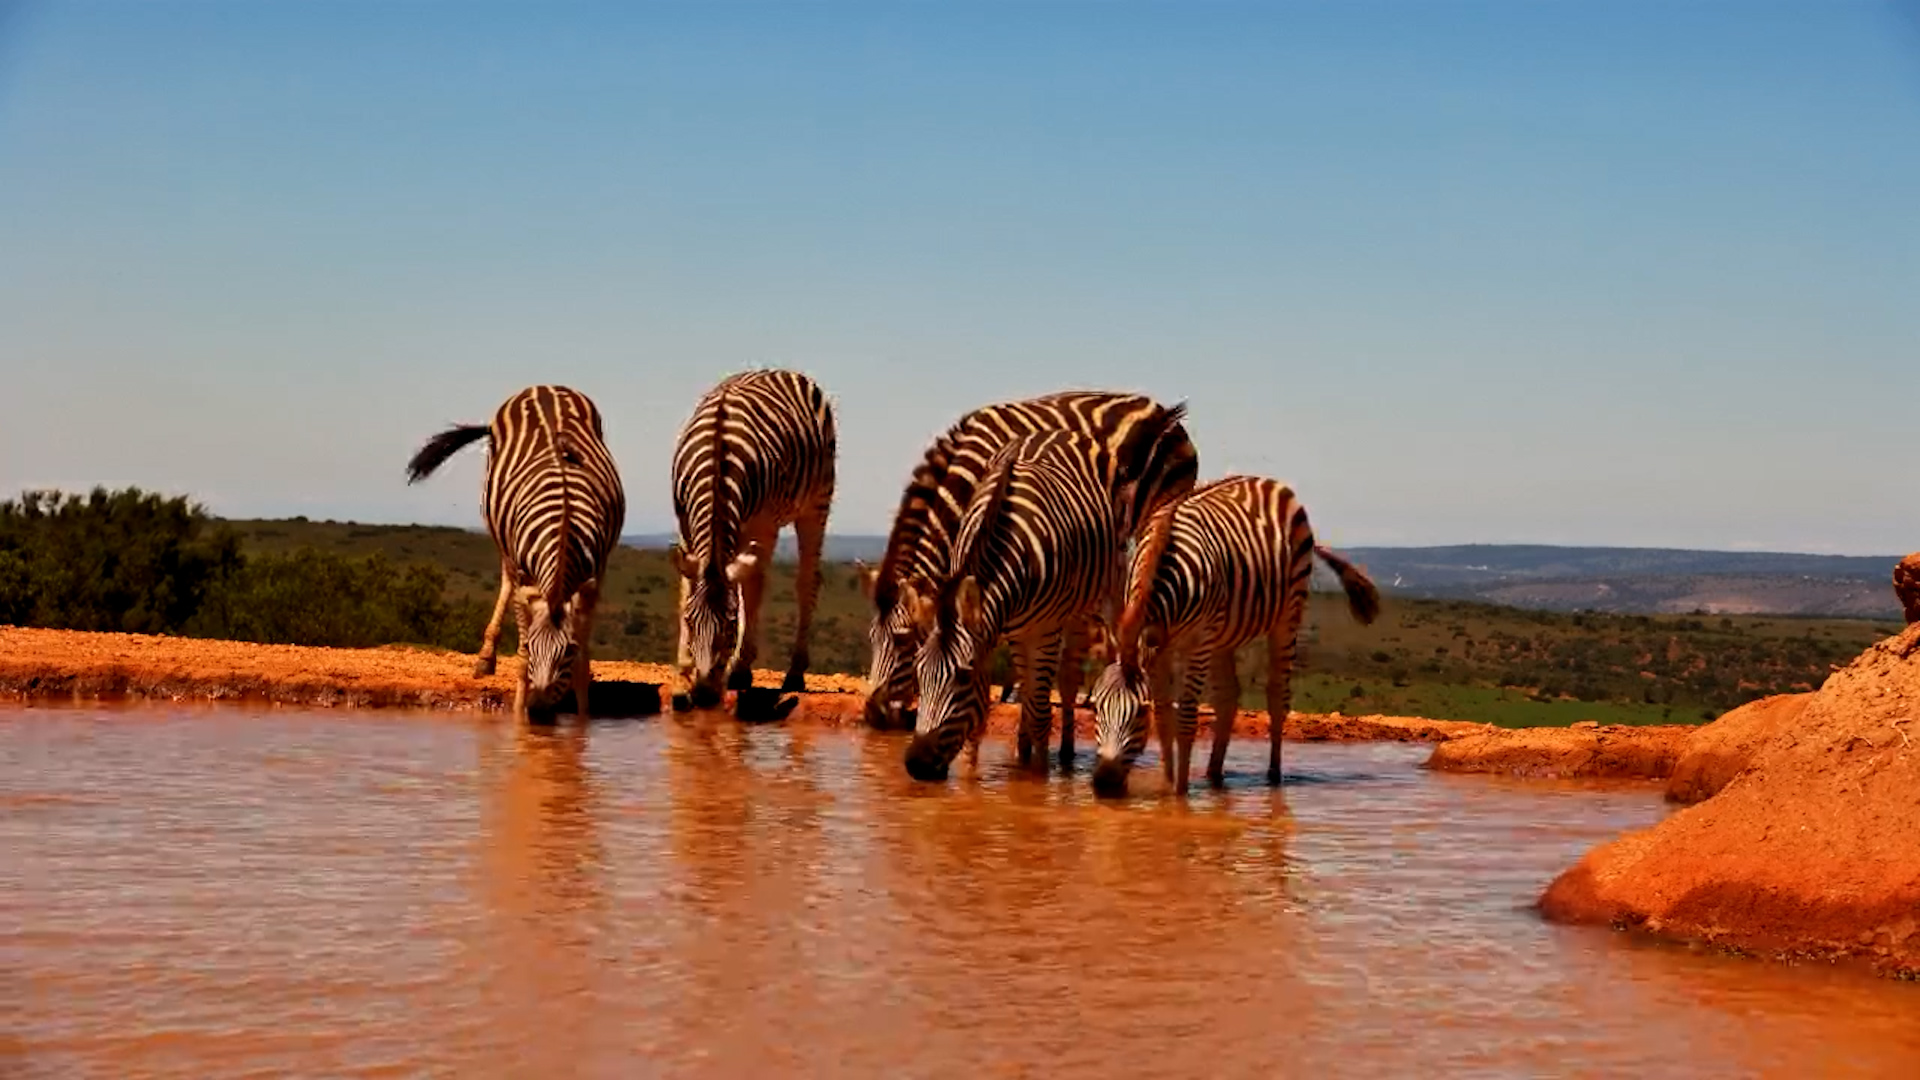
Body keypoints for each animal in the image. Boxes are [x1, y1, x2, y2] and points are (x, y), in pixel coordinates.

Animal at [405, 385, 628, 720]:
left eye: (568, 651)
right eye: (533, 649)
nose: (538, 711)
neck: (564, 521)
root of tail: (545, 386)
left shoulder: (595, 573)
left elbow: (581, 661)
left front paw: (582, 719)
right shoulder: (526, 579)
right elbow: (521, 656)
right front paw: (519, 716)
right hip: (504, 542)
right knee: (506, 580)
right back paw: (485, 659)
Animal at [669, 369, 836, 709]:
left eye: (730, 627)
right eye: (691, 622)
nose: (704, 697)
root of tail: (781, 370)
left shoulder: (760, 523)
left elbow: (753, 589)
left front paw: (739, 669)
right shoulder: (684, 523)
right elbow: (686, 590)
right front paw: (682, 678)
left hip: (816, 502)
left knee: (804, 582)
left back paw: (792, 674)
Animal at [1086, 475, 1380, 797]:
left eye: (1139, 713)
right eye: (1096, 707)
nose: (1104, 782)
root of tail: (1265, 480)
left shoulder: (1197, 642)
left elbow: (1185, 717)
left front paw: (1180, 795)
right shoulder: (1159, 648)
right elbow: (1164, 714)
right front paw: (1167, 784)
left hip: (1287, 613)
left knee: (1277, 695)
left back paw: (1274, 776)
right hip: (1223, 633)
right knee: (1228, 696)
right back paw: (1214, 774)